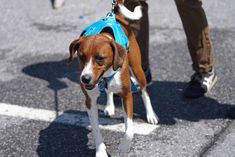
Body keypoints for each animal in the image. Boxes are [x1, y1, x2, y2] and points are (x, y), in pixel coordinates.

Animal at [69, 0, 159, 156]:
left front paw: (123, 148)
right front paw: (100, 151)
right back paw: (109, 106)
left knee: (144, 91)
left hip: (138, 69)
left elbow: (129, 131)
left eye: (100, 58)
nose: (85, 79)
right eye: (81, 57)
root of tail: (116, 17)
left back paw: (151, 114)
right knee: (109, 91)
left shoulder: (127, 94)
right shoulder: (89, 100)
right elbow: (96, 129)